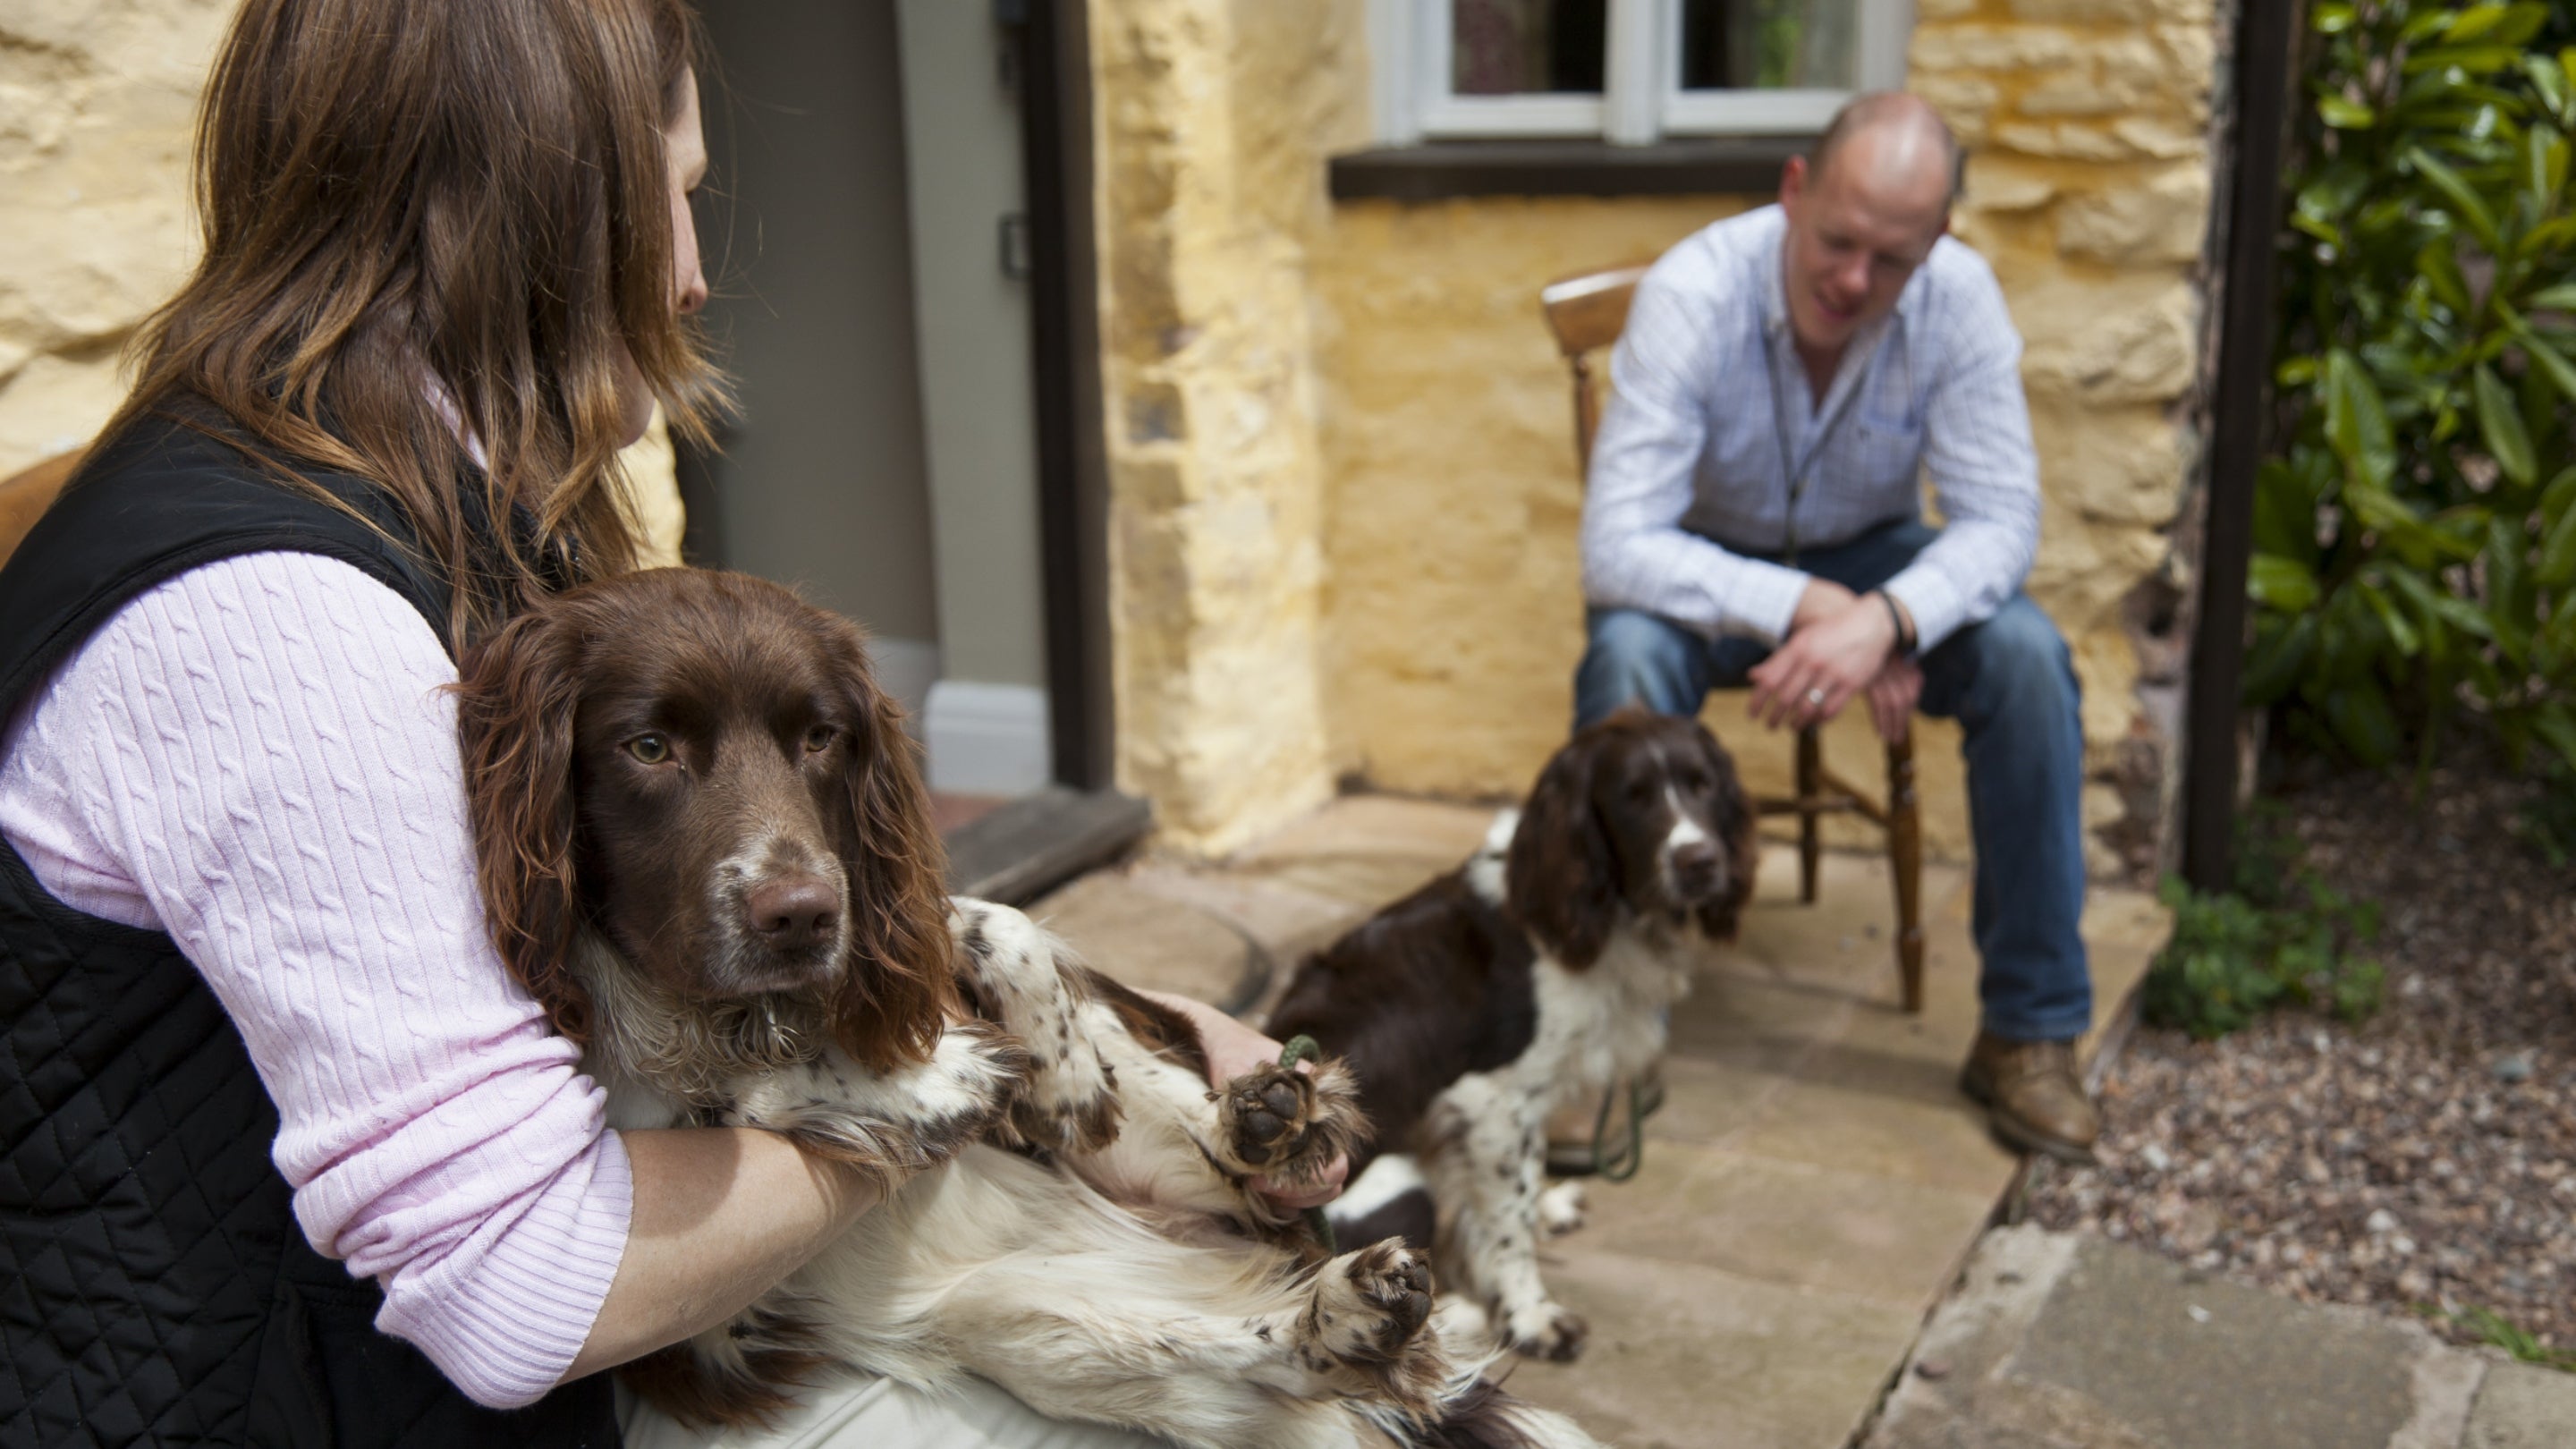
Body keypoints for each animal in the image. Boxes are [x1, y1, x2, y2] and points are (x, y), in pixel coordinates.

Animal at [453, 567, 1597, 1444]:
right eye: (647, 747)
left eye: (820, 737)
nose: (802, 916)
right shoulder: (671, 1229)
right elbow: (739, 1092)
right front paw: (927, 1083)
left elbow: (989, 923)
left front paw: (1049, 1075)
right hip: (1034, 1326)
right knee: (1248, 1354)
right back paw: (1345, 1311)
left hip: (1142, 1176)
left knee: (1219, 1167)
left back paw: (1277, 1130)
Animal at [1262, 706, 1751, 1360]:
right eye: (1634, 798)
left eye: (1704, 785)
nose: (1700, 862)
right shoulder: (1491, 1097)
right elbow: (1507, 1219)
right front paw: (1533, 1316)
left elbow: (1522, 1179)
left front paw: (1546, 1204)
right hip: (1397, 1183)